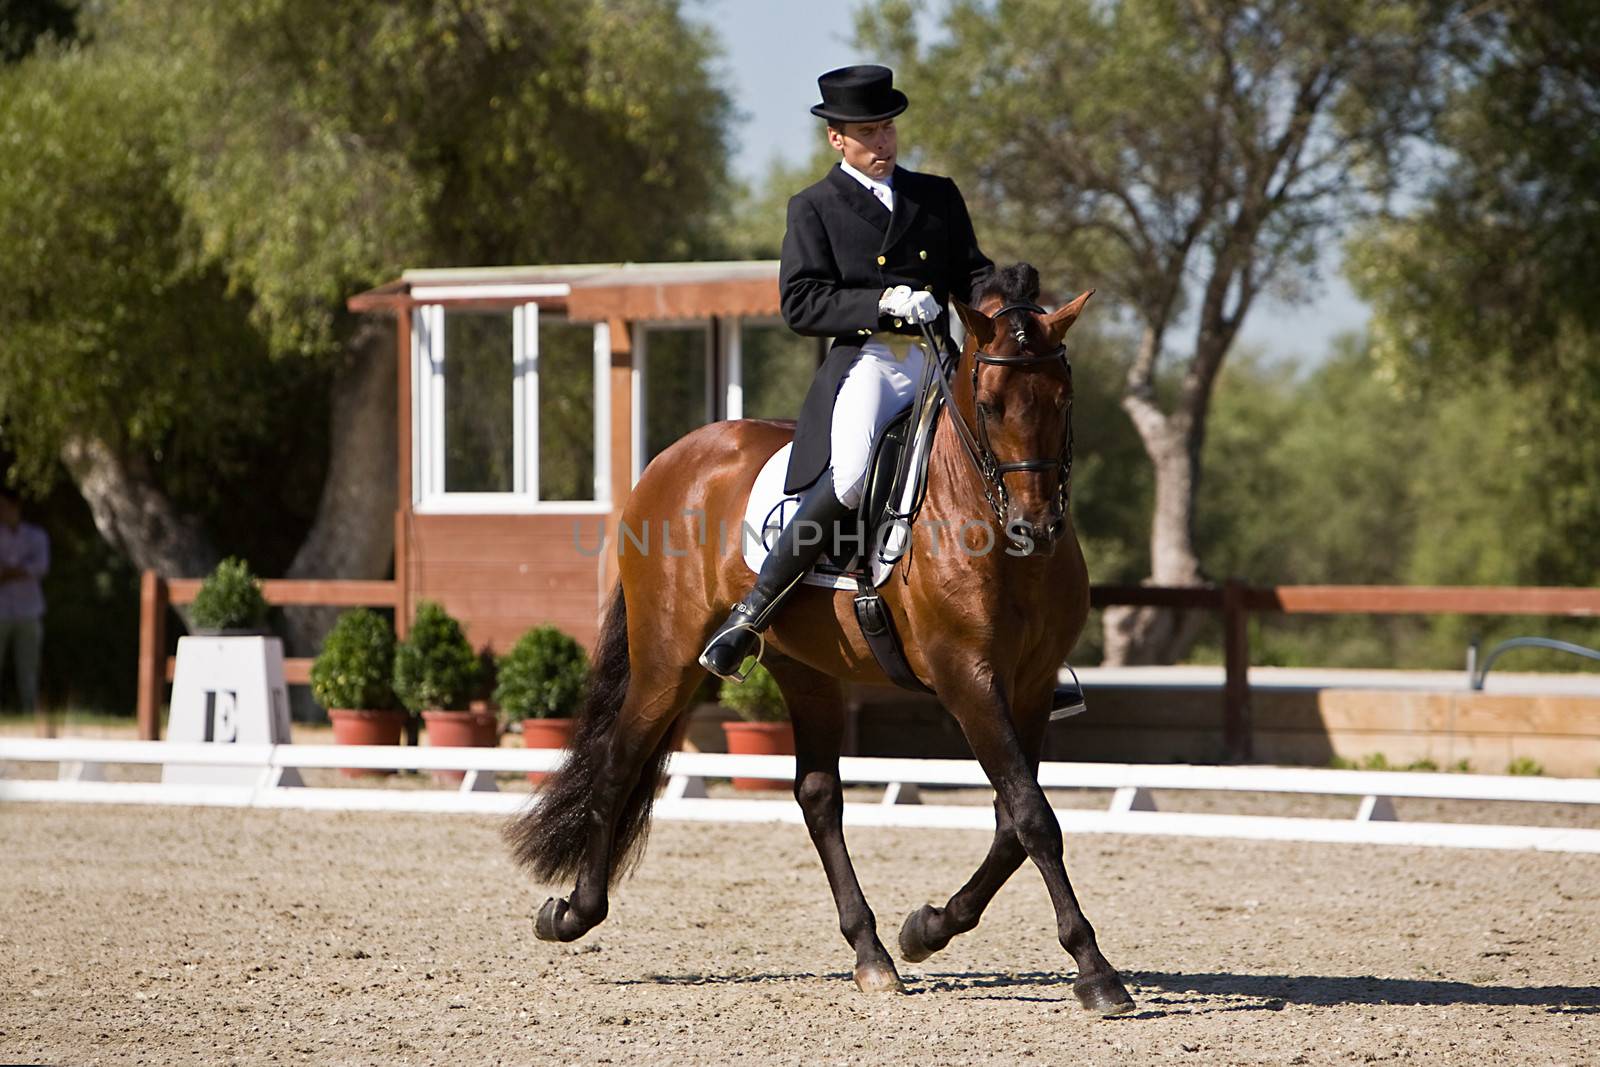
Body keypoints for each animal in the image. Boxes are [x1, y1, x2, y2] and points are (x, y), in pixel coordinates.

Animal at [505, 267, 1132, 1017]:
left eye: (1063, 399)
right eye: (989, 402)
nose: (1035, 529)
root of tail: (673, 458)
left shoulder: (1030, 687)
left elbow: (1014, 821)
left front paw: (927, 928)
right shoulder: (968, 679)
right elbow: (1034, 817)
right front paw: (1095, 968)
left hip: (806, 670)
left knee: (817, 794)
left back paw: (873, 953)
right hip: (668, 659)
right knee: (619, 761)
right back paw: (572, 913)